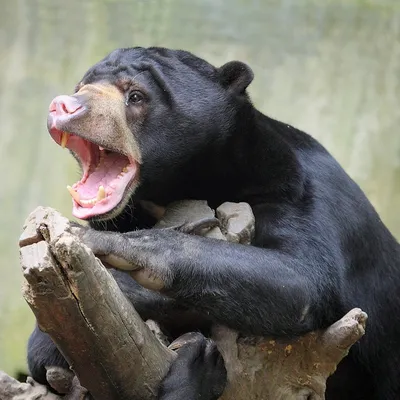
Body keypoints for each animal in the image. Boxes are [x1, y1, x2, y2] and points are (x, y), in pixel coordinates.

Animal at [28, 47, 400, 400]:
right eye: (80, 87)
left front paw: (103, 248)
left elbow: (303, 277)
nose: (63, 105)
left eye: (135, 95)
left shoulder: (296, 185)